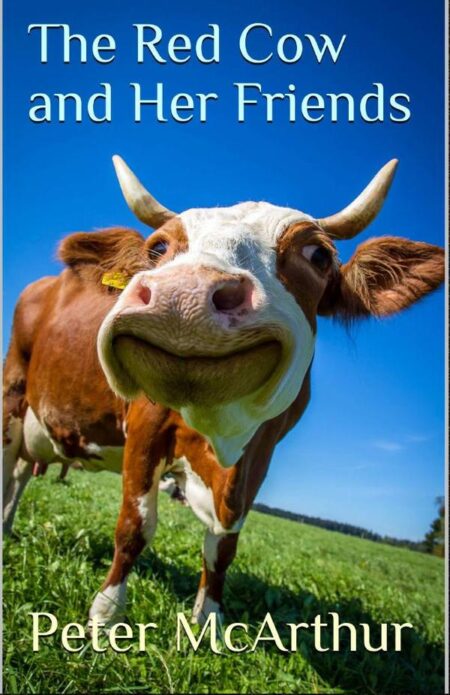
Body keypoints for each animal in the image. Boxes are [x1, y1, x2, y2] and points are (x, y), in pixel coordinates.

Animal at [3, 156, 444, 627]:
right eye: (158, 249)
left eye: (319, 255)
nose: (184, 295)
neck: (220, 436)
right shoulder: (145, 428)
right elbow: (135, 526)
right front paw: (105, 615)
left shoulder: (260, 455)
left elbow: (223, 546)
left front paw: (208, 620)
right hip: (13, 392)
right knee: (9, 465)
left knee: (21, 473)